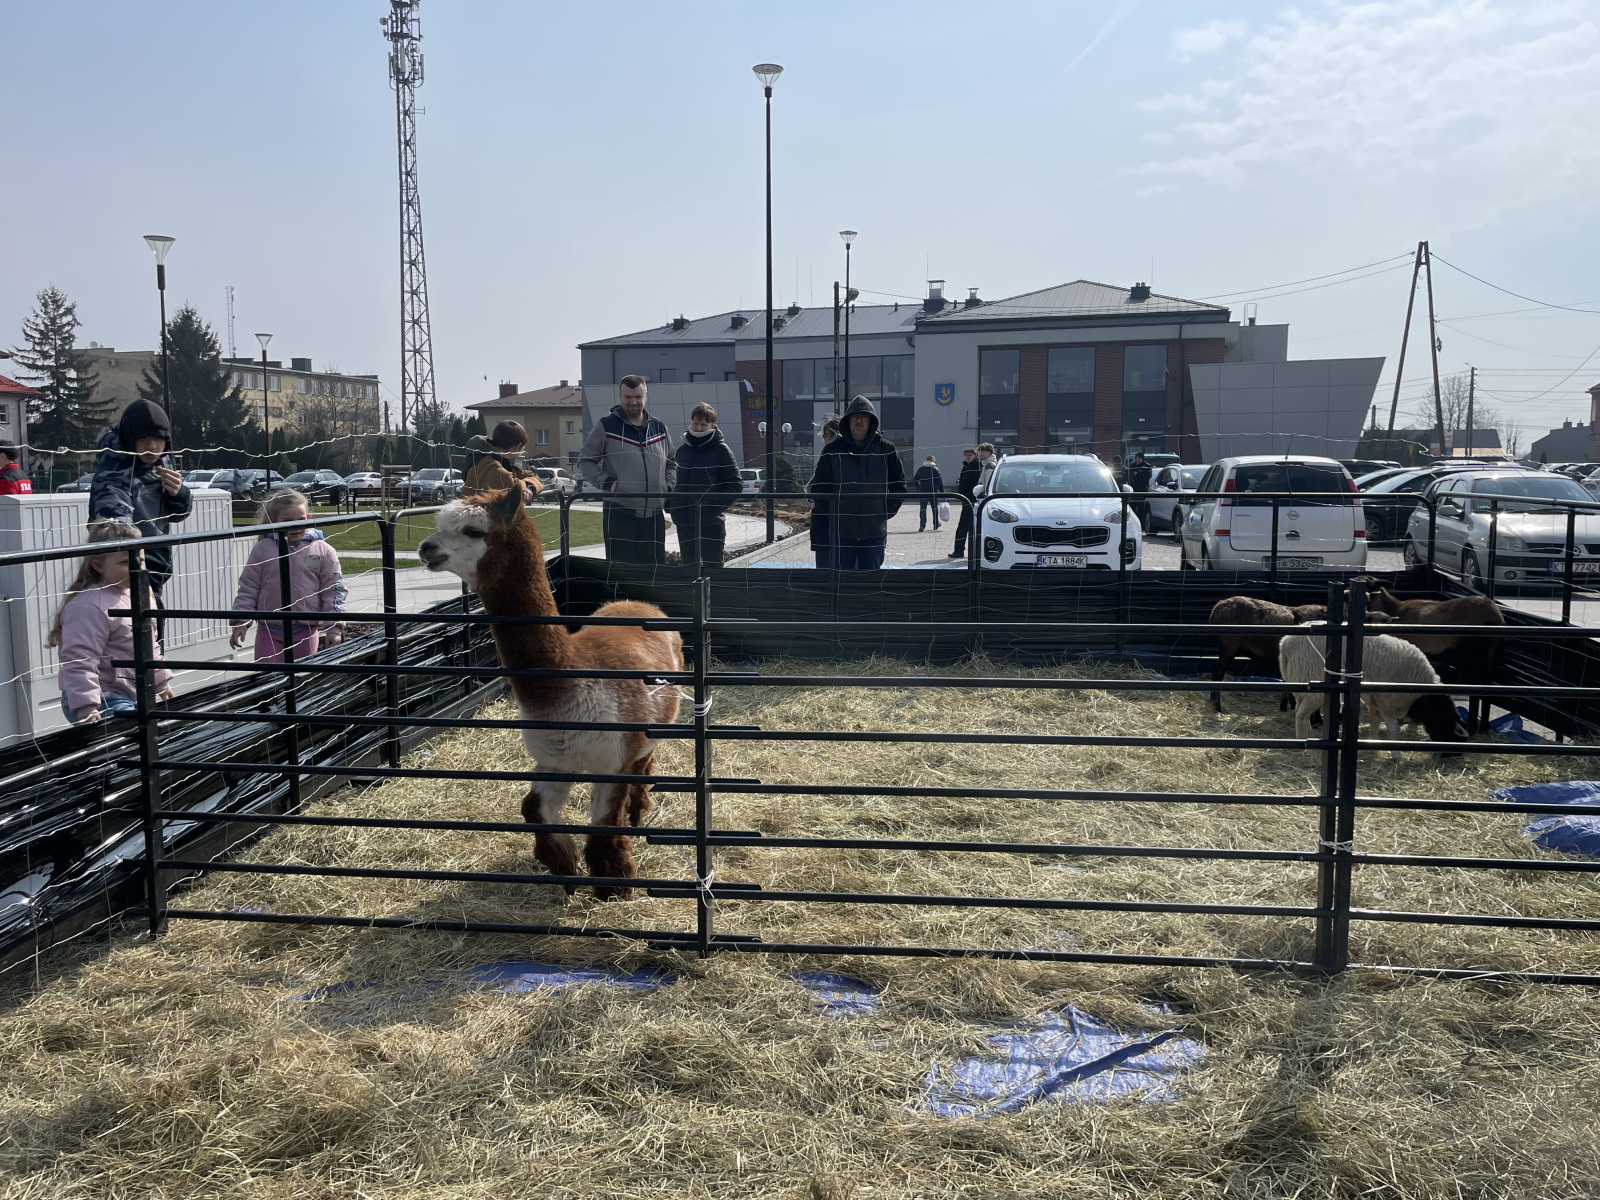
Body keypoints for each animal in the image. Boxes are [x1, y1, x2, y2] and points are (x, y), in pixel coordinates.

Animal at [416, 487, 683, 898]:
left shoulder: (613, 758)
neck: (566, 683)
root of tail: (638, 603)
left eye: (474, 531)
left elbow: (605, 824)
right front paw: (564, 866)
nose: (425, 547)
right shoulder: (554, 759)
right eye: (438, 525)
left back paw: (639, 812)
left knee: (645, 764)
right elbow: (532, 808)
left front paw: (614, 883)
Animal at [1279, 624, 1467, 756]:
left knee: (1301, 711)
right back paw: (1303, 743)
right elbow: (1392, 725)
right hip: (1313, 686)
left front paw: (1373, 741)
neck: (1420, 694)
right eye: (1450, 732)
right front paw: (1396, 754)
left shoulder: (1376, 699)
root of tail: (1286, 643)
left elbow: (1375, 720)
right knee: (1301, 714)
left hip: (1301, 684)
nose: (1453, 755)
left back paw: (1309, 736)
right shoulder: (1387, 699)